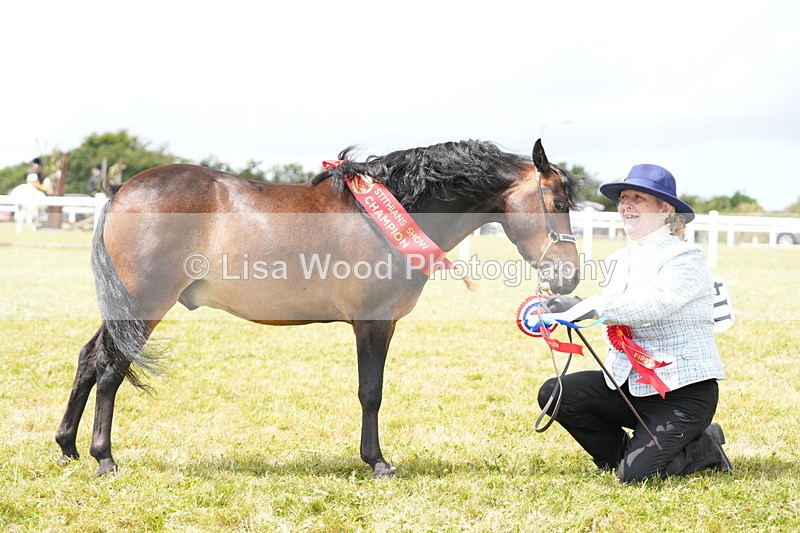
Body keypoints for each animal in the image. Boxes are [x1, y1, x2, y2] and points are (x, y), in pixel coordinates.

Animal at [55, 138, 582, 478]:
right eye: (557, 203)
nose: (570, 276)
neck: (390, 212)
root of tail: (121, 190)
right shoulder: (373, 323)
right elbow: (371, 392)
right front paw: (377, 462)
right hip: (144, 304)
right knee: (110, 370)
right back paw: (104, 458)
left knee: (89, 360)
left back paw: (67, 447)